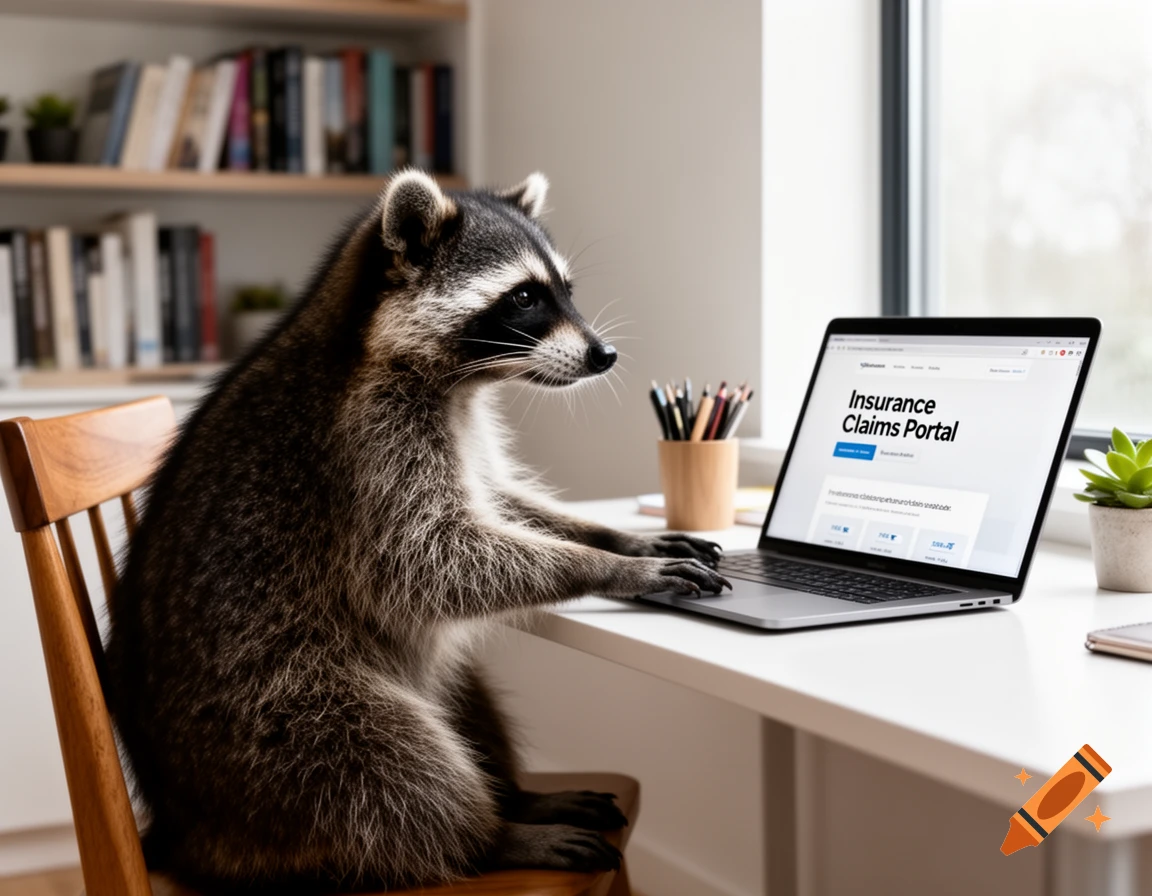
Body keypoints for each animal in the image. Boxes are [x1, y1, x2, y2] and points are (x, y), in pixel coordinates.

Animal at [105, 170, 731, 894]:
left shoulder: (458, 429)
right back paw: (487, 838)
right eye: (524, 297)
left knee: (466, 698)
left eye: (567, 291)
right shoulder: (367, 442)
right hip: (271, 722)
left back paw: (519, 795)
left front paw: (613, 538)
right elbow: (425, 559)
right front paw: (612, 568)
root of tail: (181, 829)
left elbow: (499, 503)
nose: (605, 354)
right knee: (386, 761)